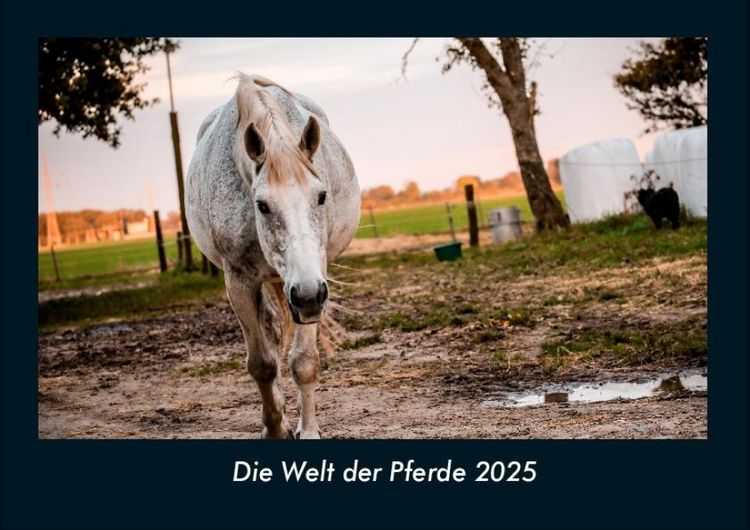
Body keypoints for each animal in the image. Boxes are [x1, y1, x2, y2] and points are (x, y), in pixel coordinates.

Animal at [186, 74, 361, 439]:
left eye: (321, 196)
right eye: (262, 205)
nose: (307, 294)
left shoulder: (315, 281)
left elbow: (304, 362)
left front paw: (308, 430)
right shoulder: (239, 281)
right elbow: (262, 364)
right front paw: (276, 427)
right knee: (269, 332)